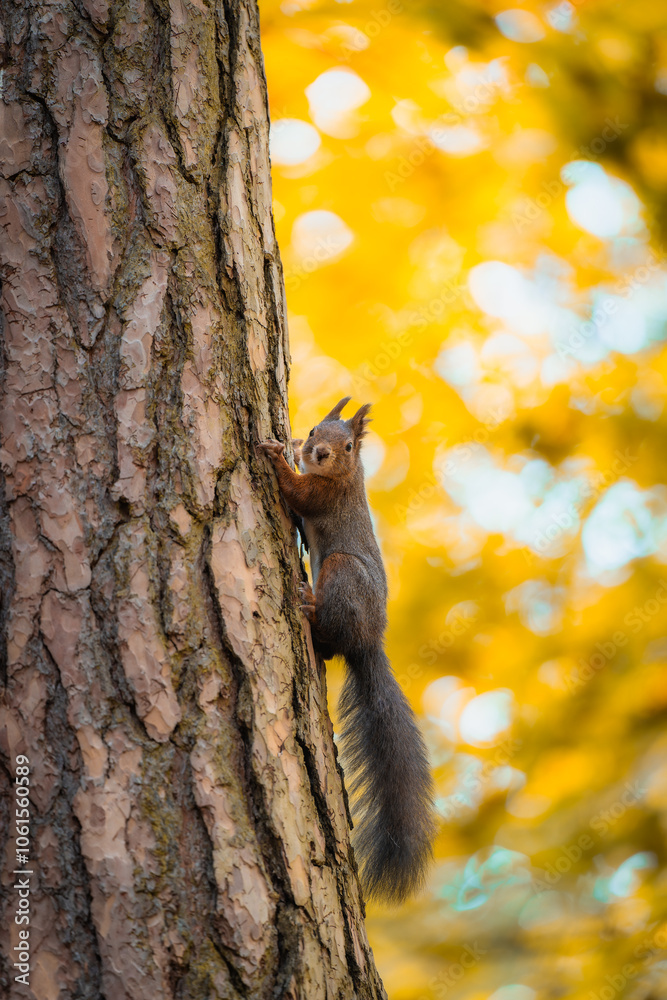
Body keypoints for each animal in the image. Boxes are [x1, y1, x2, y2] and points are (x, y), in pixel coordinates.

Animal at [259, 397, 436, 904]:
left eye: (350, 446)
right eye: (317, 429)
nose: (317, 452)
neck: (346, 475)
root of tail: (369, 640)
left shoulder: (325, 496)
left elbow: (298, 495)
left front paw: (276, 455)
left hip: (339, 571)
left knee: (330, 639)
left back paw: (307, 605)